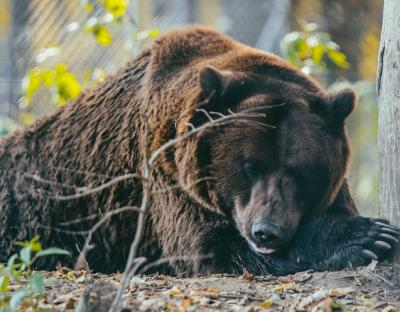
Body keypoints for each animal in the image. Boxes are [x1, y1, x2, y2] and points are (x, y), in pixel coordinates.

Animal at [0, 27, 398, 276]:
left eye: (301, 171)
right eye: (250, 166)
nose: (266, 232)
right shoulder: (166, 177)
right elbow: (210, 248)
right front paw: (366, 235)